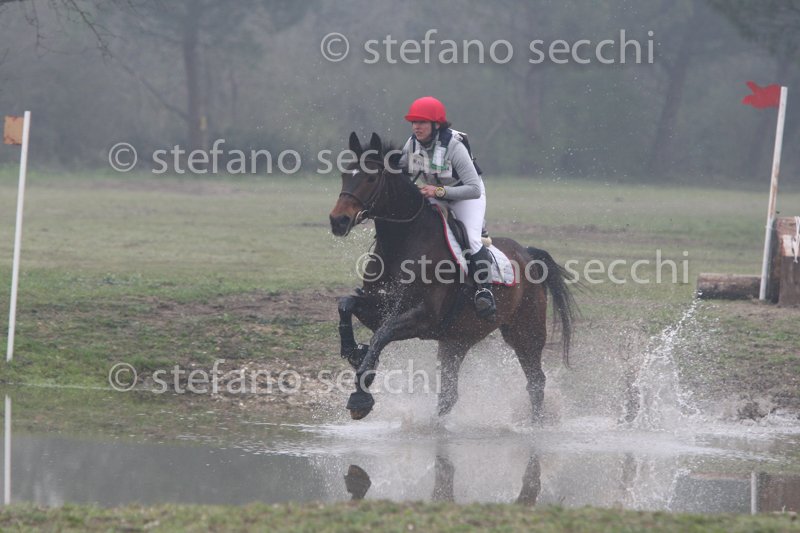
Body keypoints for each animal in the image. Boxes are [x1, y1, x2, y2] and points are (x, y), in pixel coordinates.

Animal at [329, 132, 577, 421]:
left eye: (371, 178)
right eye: (345, 174)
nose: (338, 221)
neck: (403, 242)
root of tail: (528, 254)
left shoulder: (424, 316)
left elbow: (382, 335)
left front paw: (360, 395)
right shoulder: (379, 308)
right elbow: (346, 304)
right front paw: (353, 351)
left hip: (525, 332)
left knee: (535, 382)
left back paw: (535, 425)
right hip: (457, 340)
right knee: (448, 395)